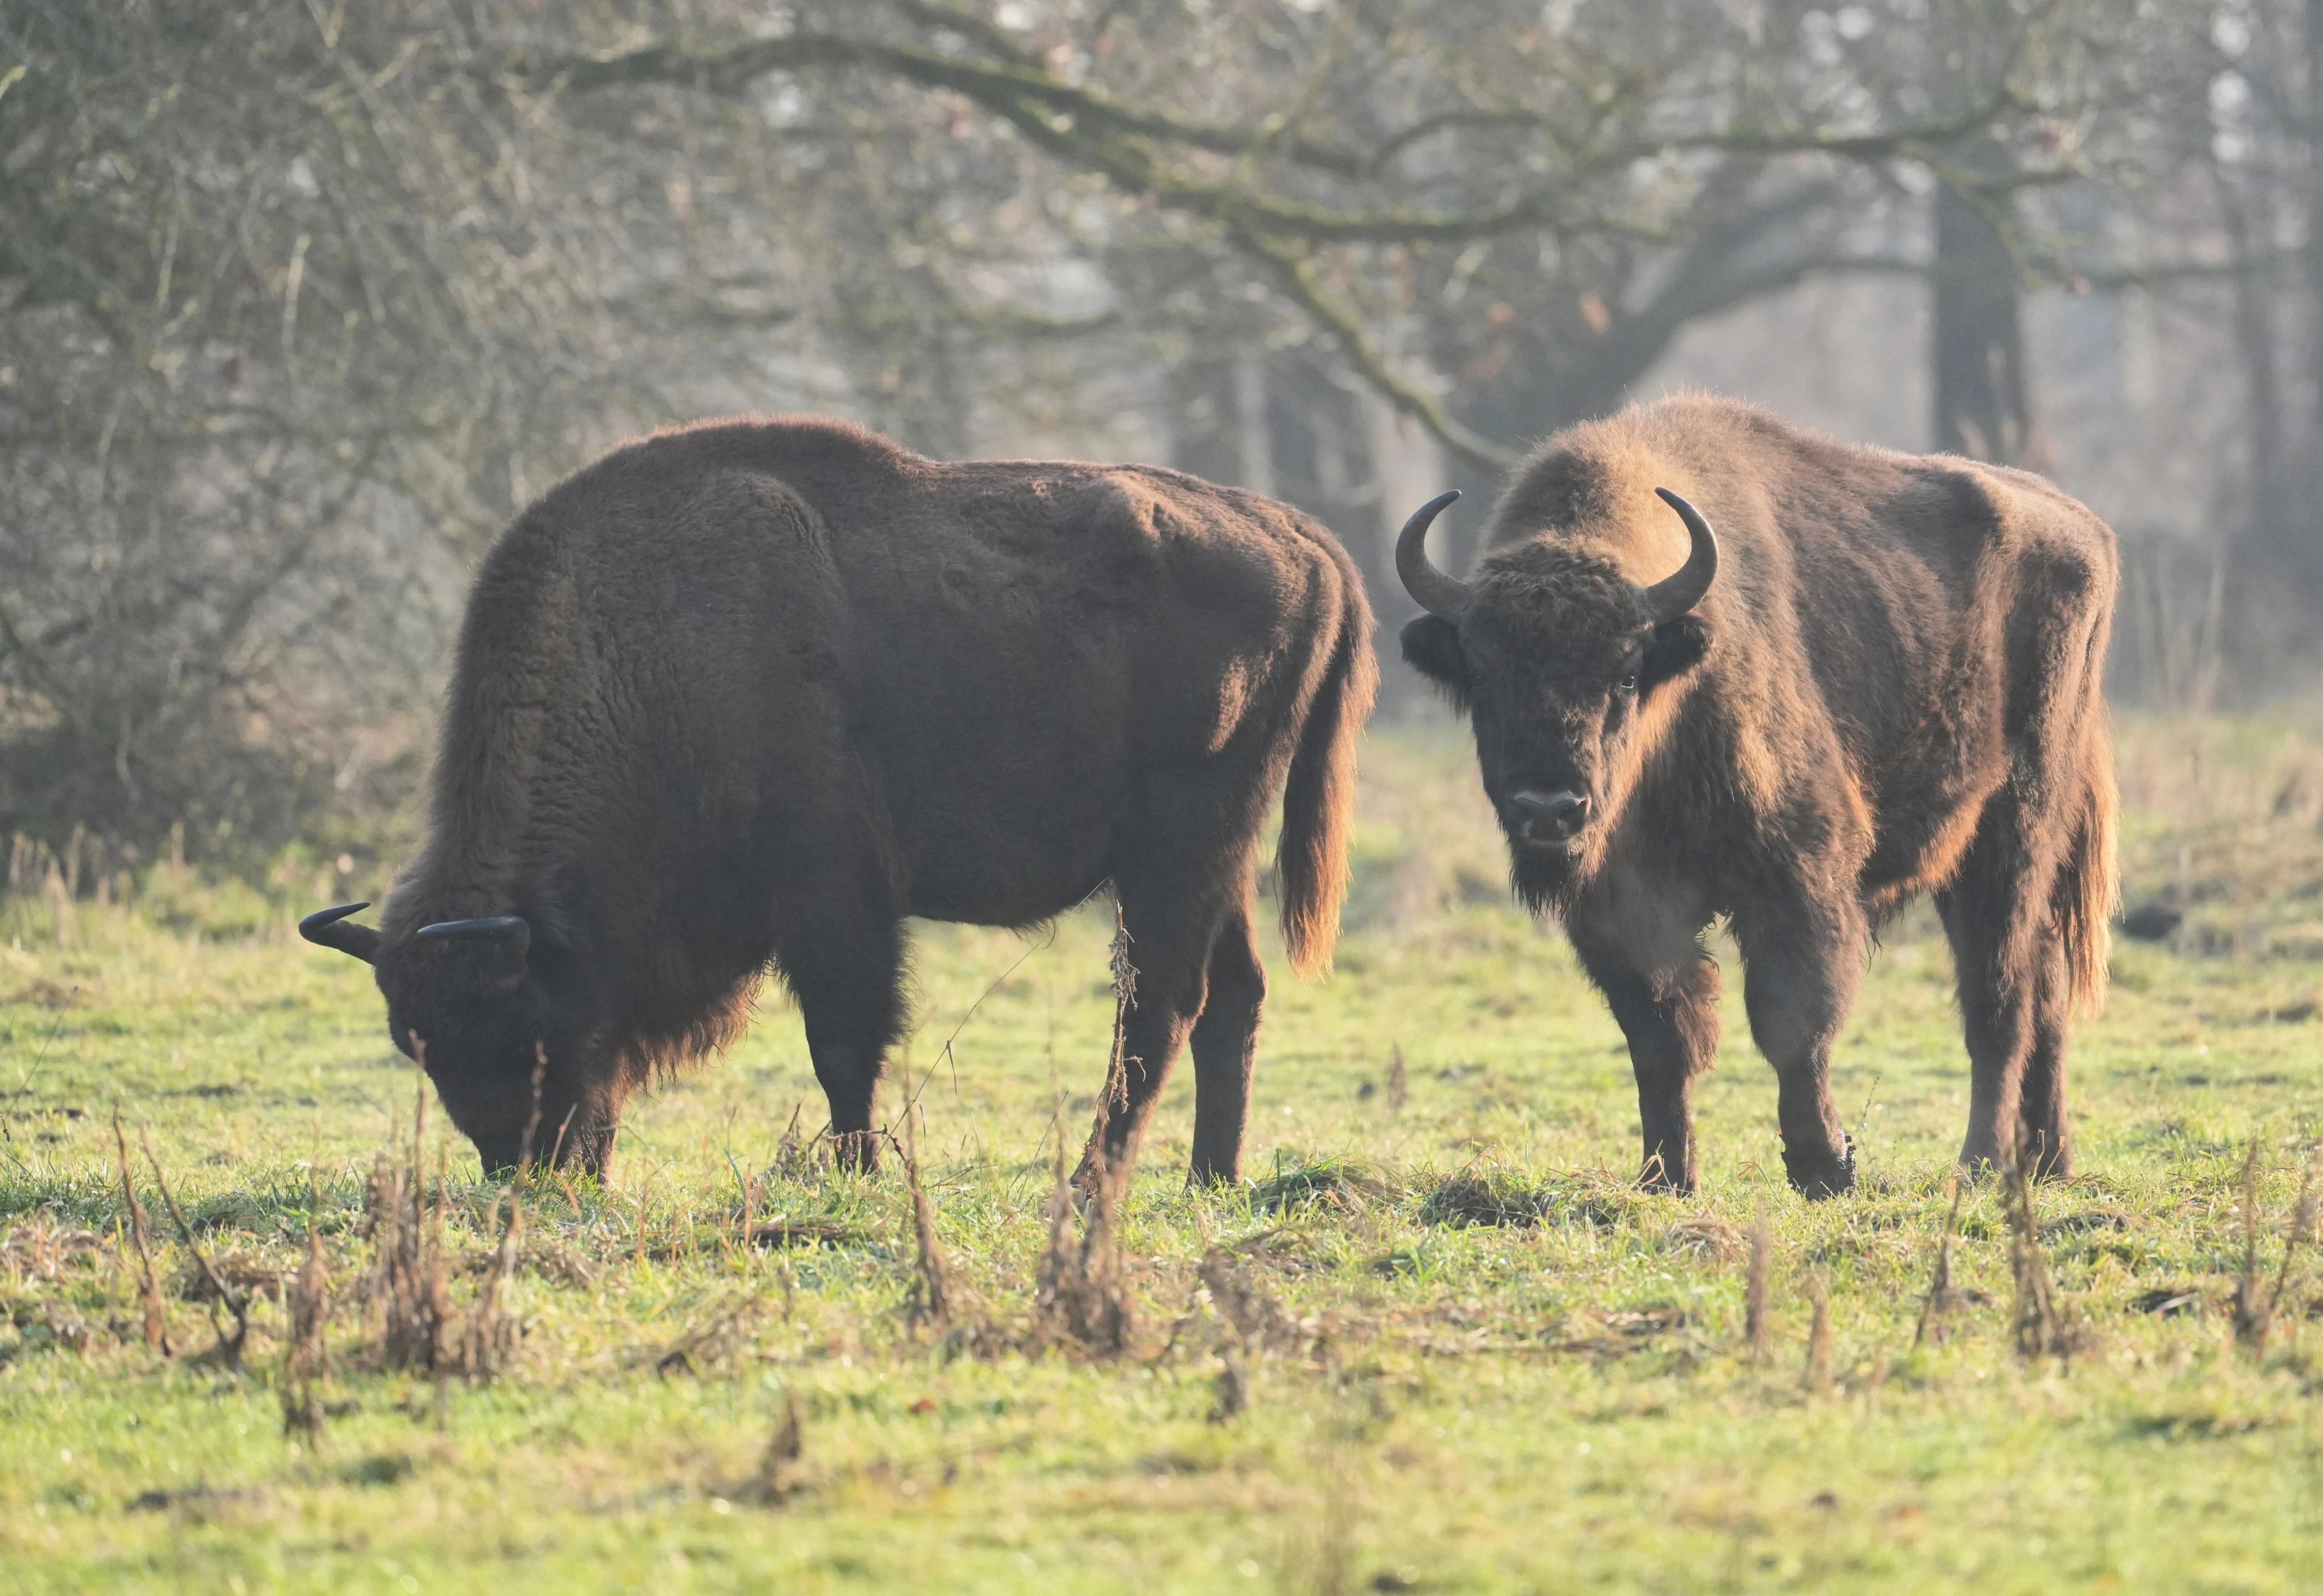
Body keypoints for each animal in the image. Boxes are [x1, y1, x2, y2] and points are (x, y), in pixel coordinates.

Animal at [302, 417, 1374, 1184]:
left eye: (520, 1021)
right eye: (421, 1048)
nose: (534, 1170)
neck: (653, 657)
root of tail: (1304, 540)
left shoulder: (832, 896)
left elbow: (843, 1041)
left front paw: (856, 1171)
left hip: (1179, 849)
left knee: (1163, 1007)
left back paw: (1090, 1180)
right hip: (1206, 862)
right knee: (1230, 998)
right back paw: (1208, 1178)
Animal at [1397, 396, 2116, 1195]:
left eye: (1624, 673)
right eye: (1481, 674)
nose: (1548, 809)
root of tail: (2083, 530)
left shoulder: (1796, 877)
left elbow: (1790, 1023)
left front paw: (1825, 1166)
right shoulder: (1618, 914)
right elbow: (1659, 1037)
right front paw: (1664, 1177)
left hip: (2009, 836)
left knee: (1999, 1000)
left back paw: (1979, 1167)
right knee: (2043, 990)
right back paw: (2047, 1162)